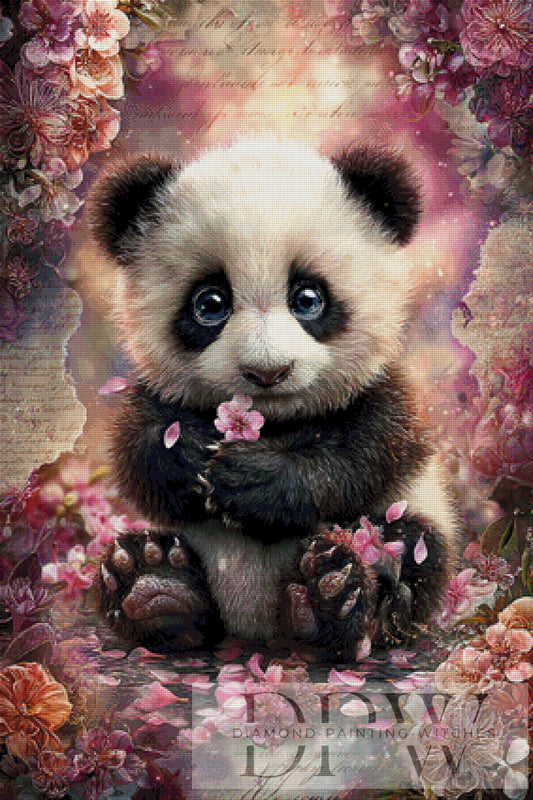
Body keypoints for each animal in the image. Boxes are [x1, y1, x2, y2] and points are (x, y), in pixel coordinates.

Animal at [88, 136, 458, 661]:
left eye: (308, 298)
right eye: (210, 303)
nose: (268, 372)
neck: (275, 421)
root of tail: (256, 627)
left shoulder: (383, 394)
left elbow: (361, 456)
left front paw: (251, 478)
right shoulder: (154, 392)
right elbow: (134, 451)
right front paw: (184, 454)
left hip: (415, 514)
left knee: (412, 547)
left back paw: (330, 596)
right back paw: (154, 585)